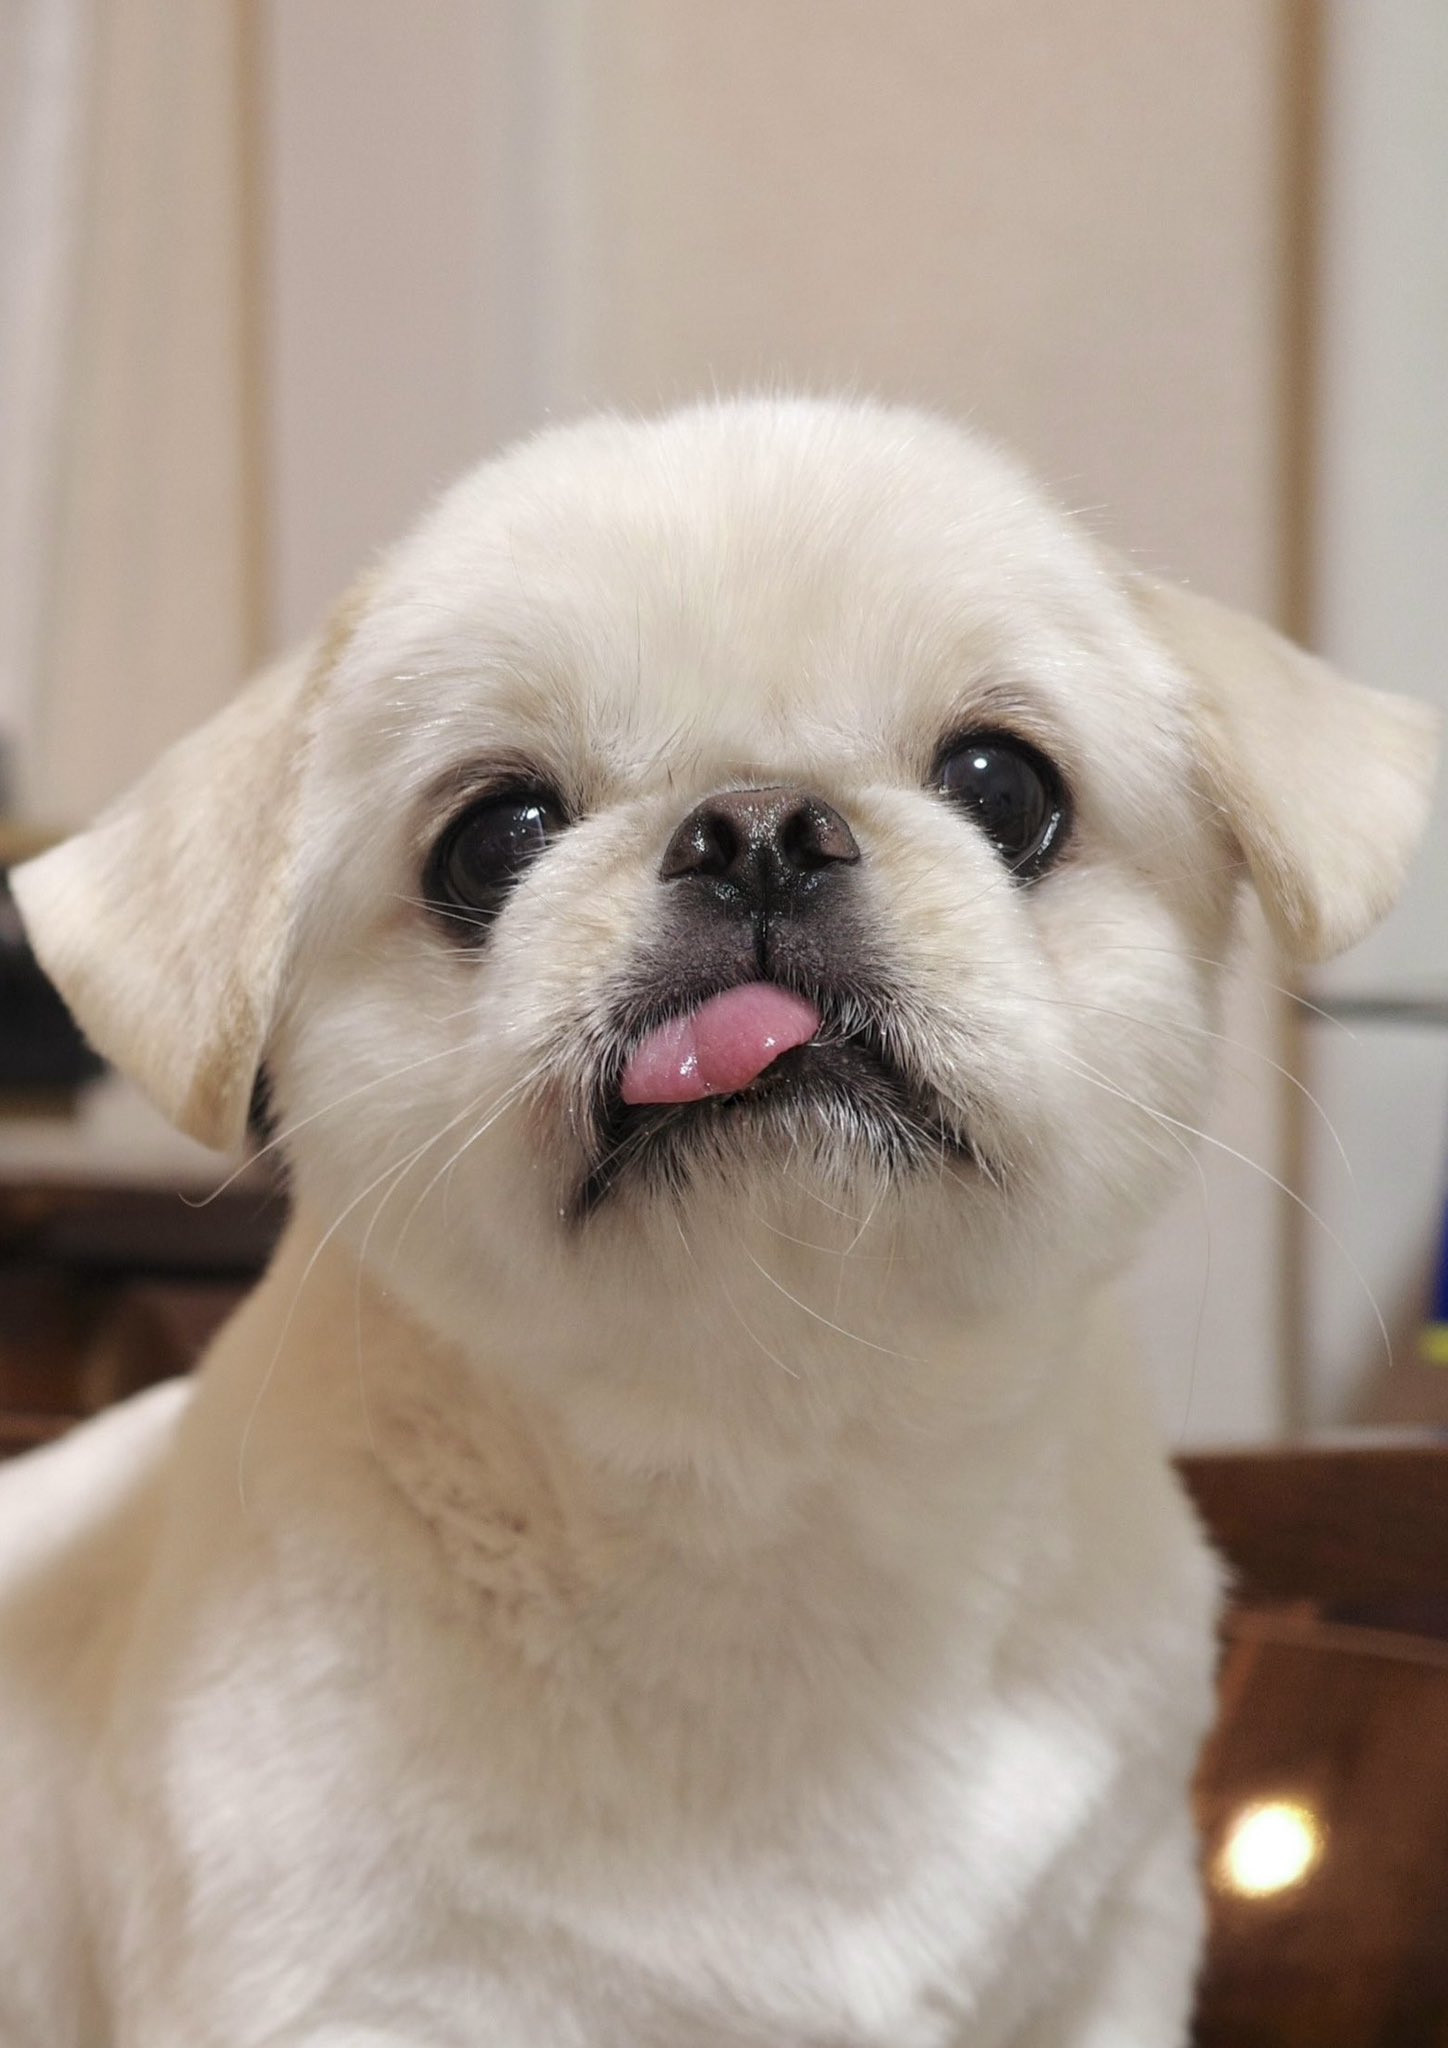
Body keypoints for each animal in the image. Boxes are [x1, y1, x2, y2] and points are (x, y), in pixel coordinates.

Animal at [2, 398, 1436, 2046]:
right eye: (493, 839)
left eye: (1005, 786)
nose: (754, 825)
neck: (766, 1494)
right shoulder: (340, 1992)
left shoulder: (1104, 1953)